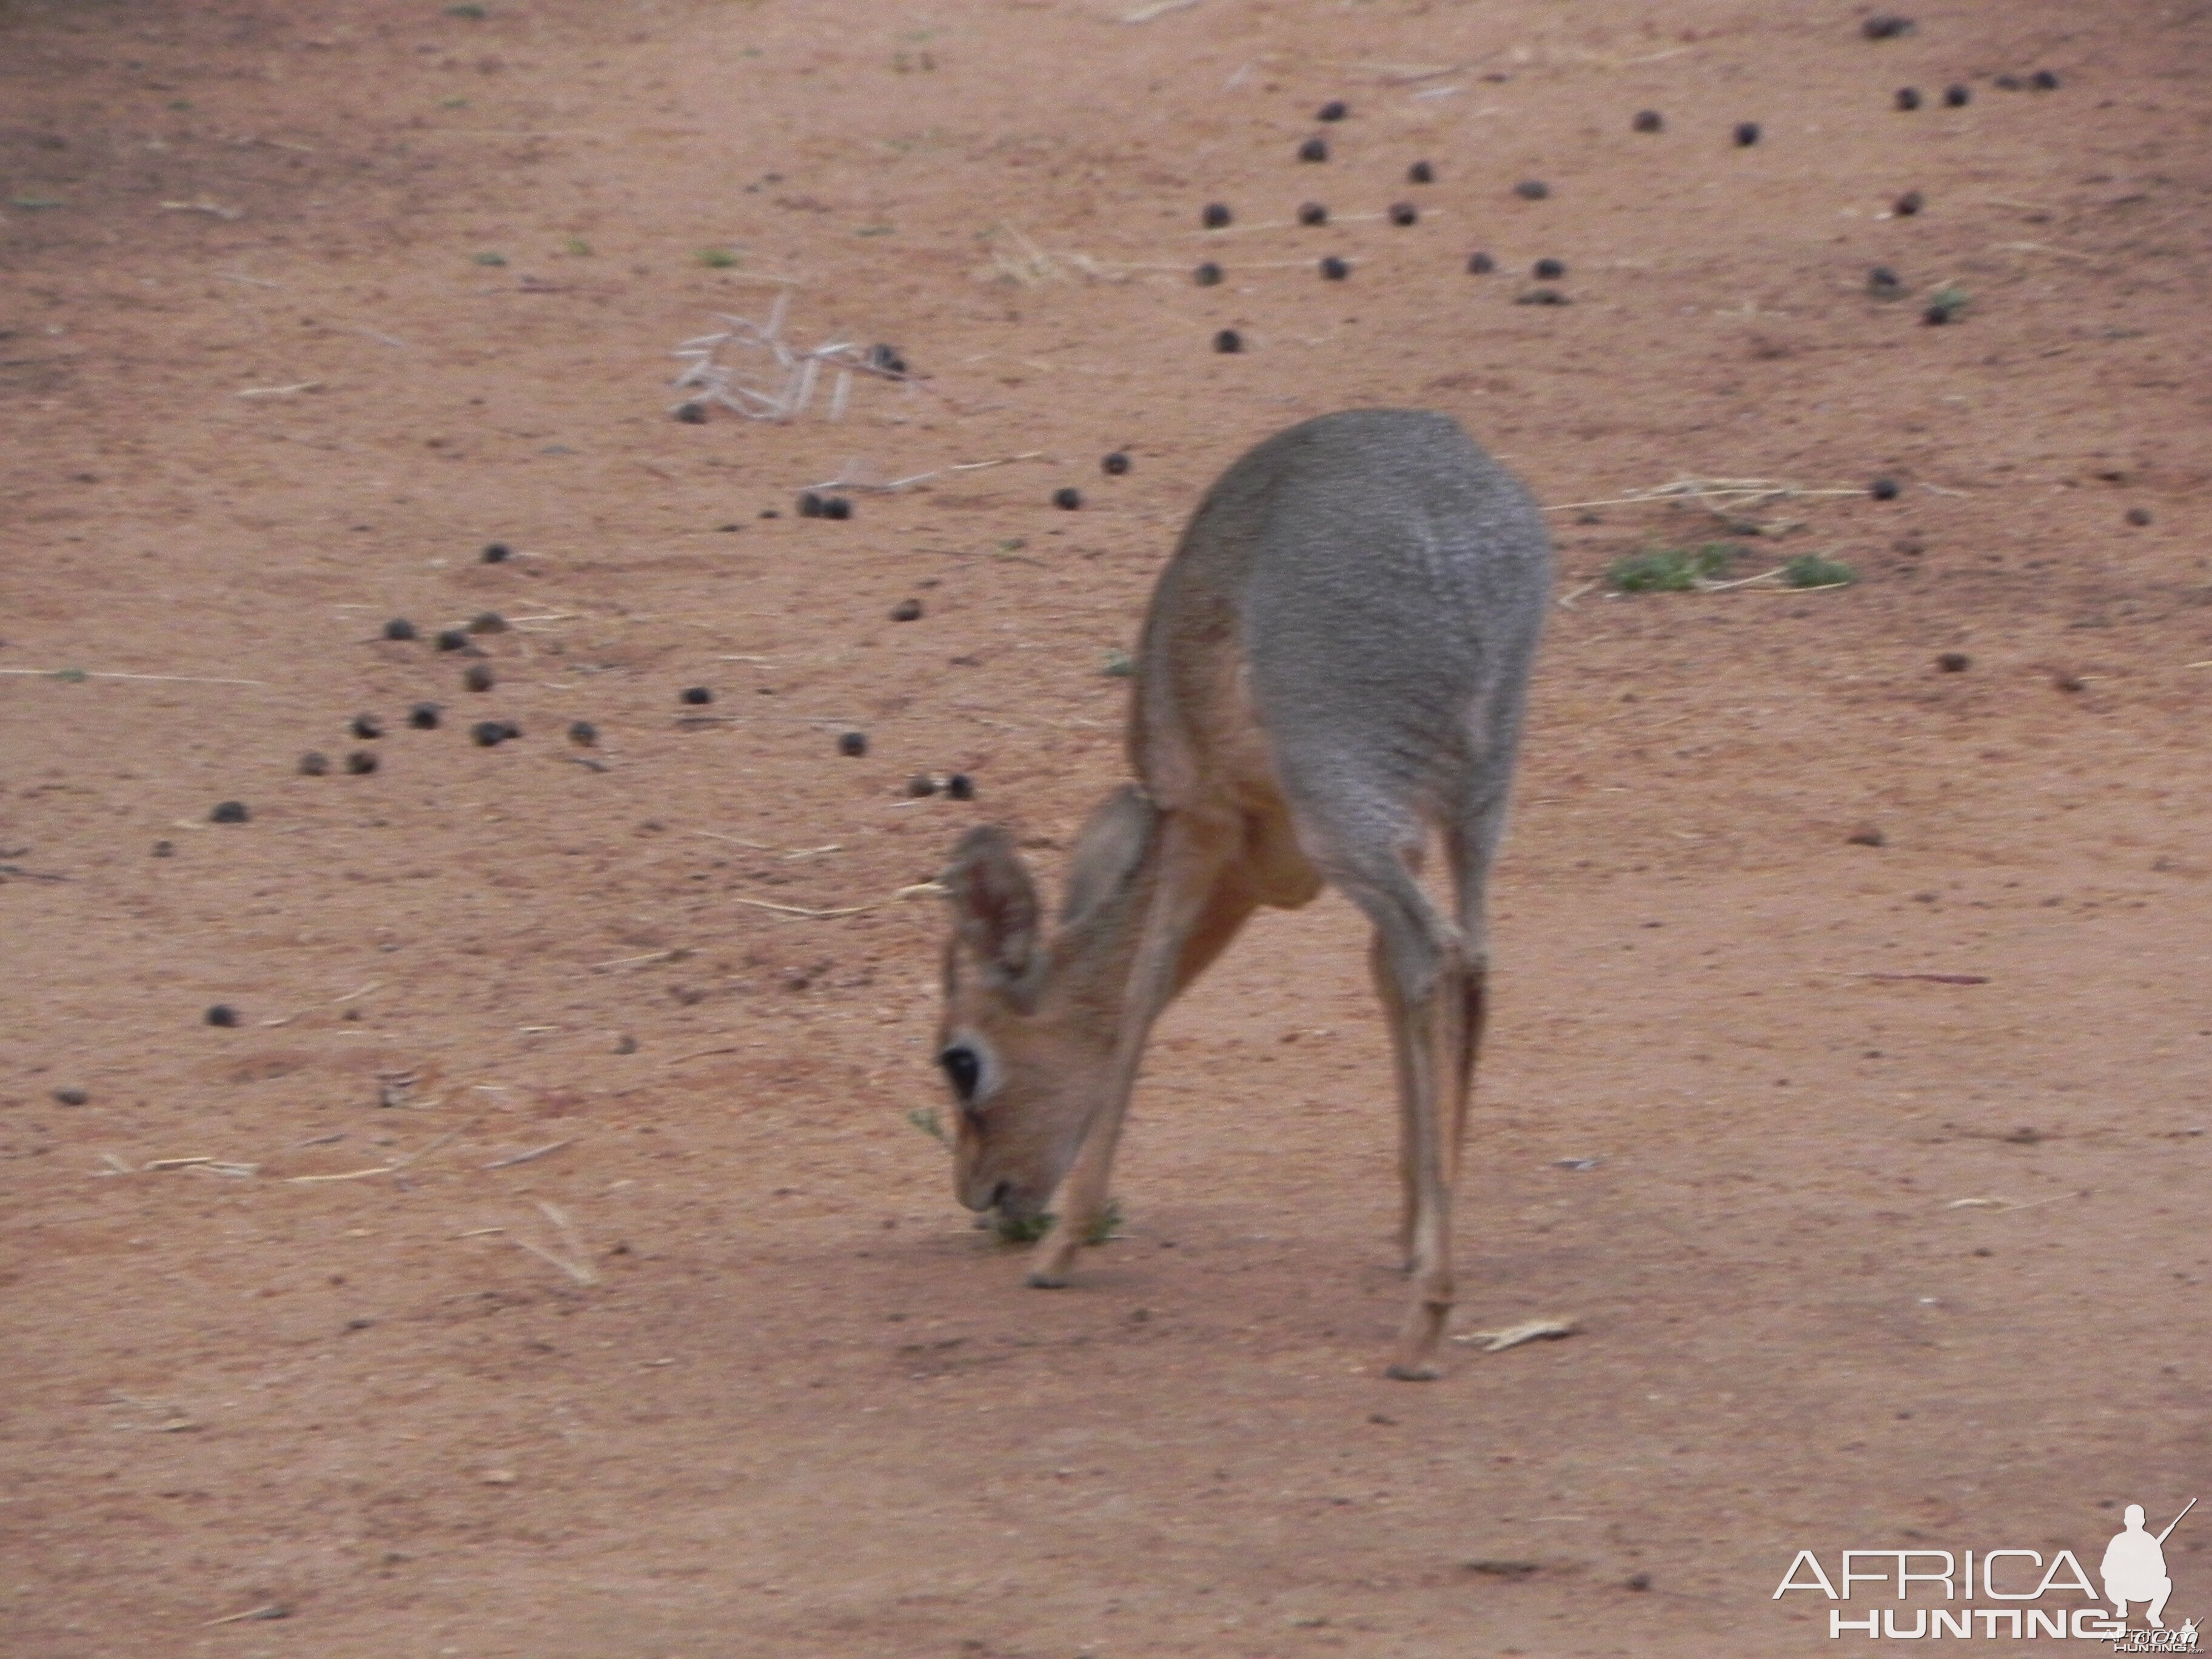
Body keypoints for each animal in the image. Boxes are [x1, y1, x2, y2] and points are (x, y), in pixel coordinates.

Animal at [942, 407, 1548, 1380]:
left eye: (959, 1060)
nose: (979, 1190)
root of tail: (1455, 544)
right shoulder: (1397, 841)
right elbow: (1385, 983)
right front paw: (1411, 1227)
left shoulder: (1198, 818)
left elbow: (1141, 993)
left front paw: (1064, 1246)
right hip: (1476, 799)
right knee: (1470, 962)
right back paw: (1433, 1281)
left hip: (1347, 804)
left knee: (1441, 954)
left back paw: (1426, 1323)